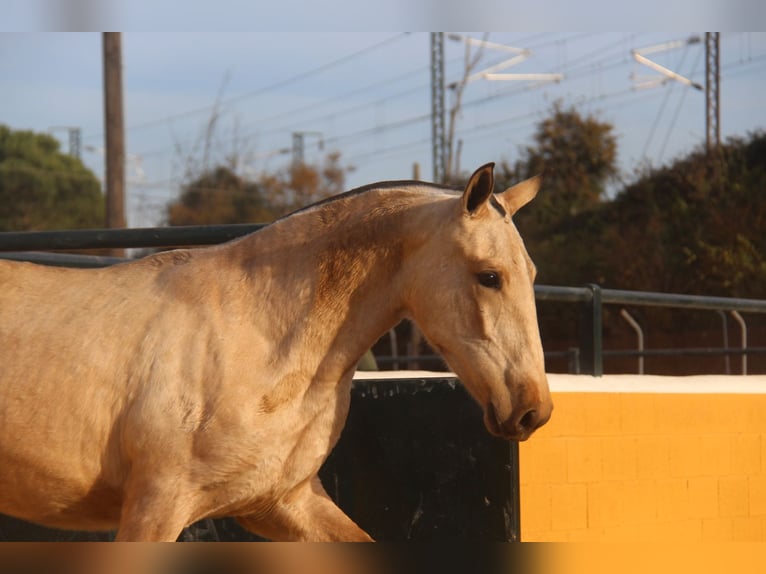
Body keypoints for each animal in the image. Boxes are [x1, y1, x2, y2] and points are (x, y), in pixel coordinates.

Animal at [0, 162, 552, 541]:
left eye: (532, 273)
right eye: (489, 276)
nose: (533, 410)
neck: (260, 342)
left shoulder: (282, 502)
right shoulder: (154, 505)